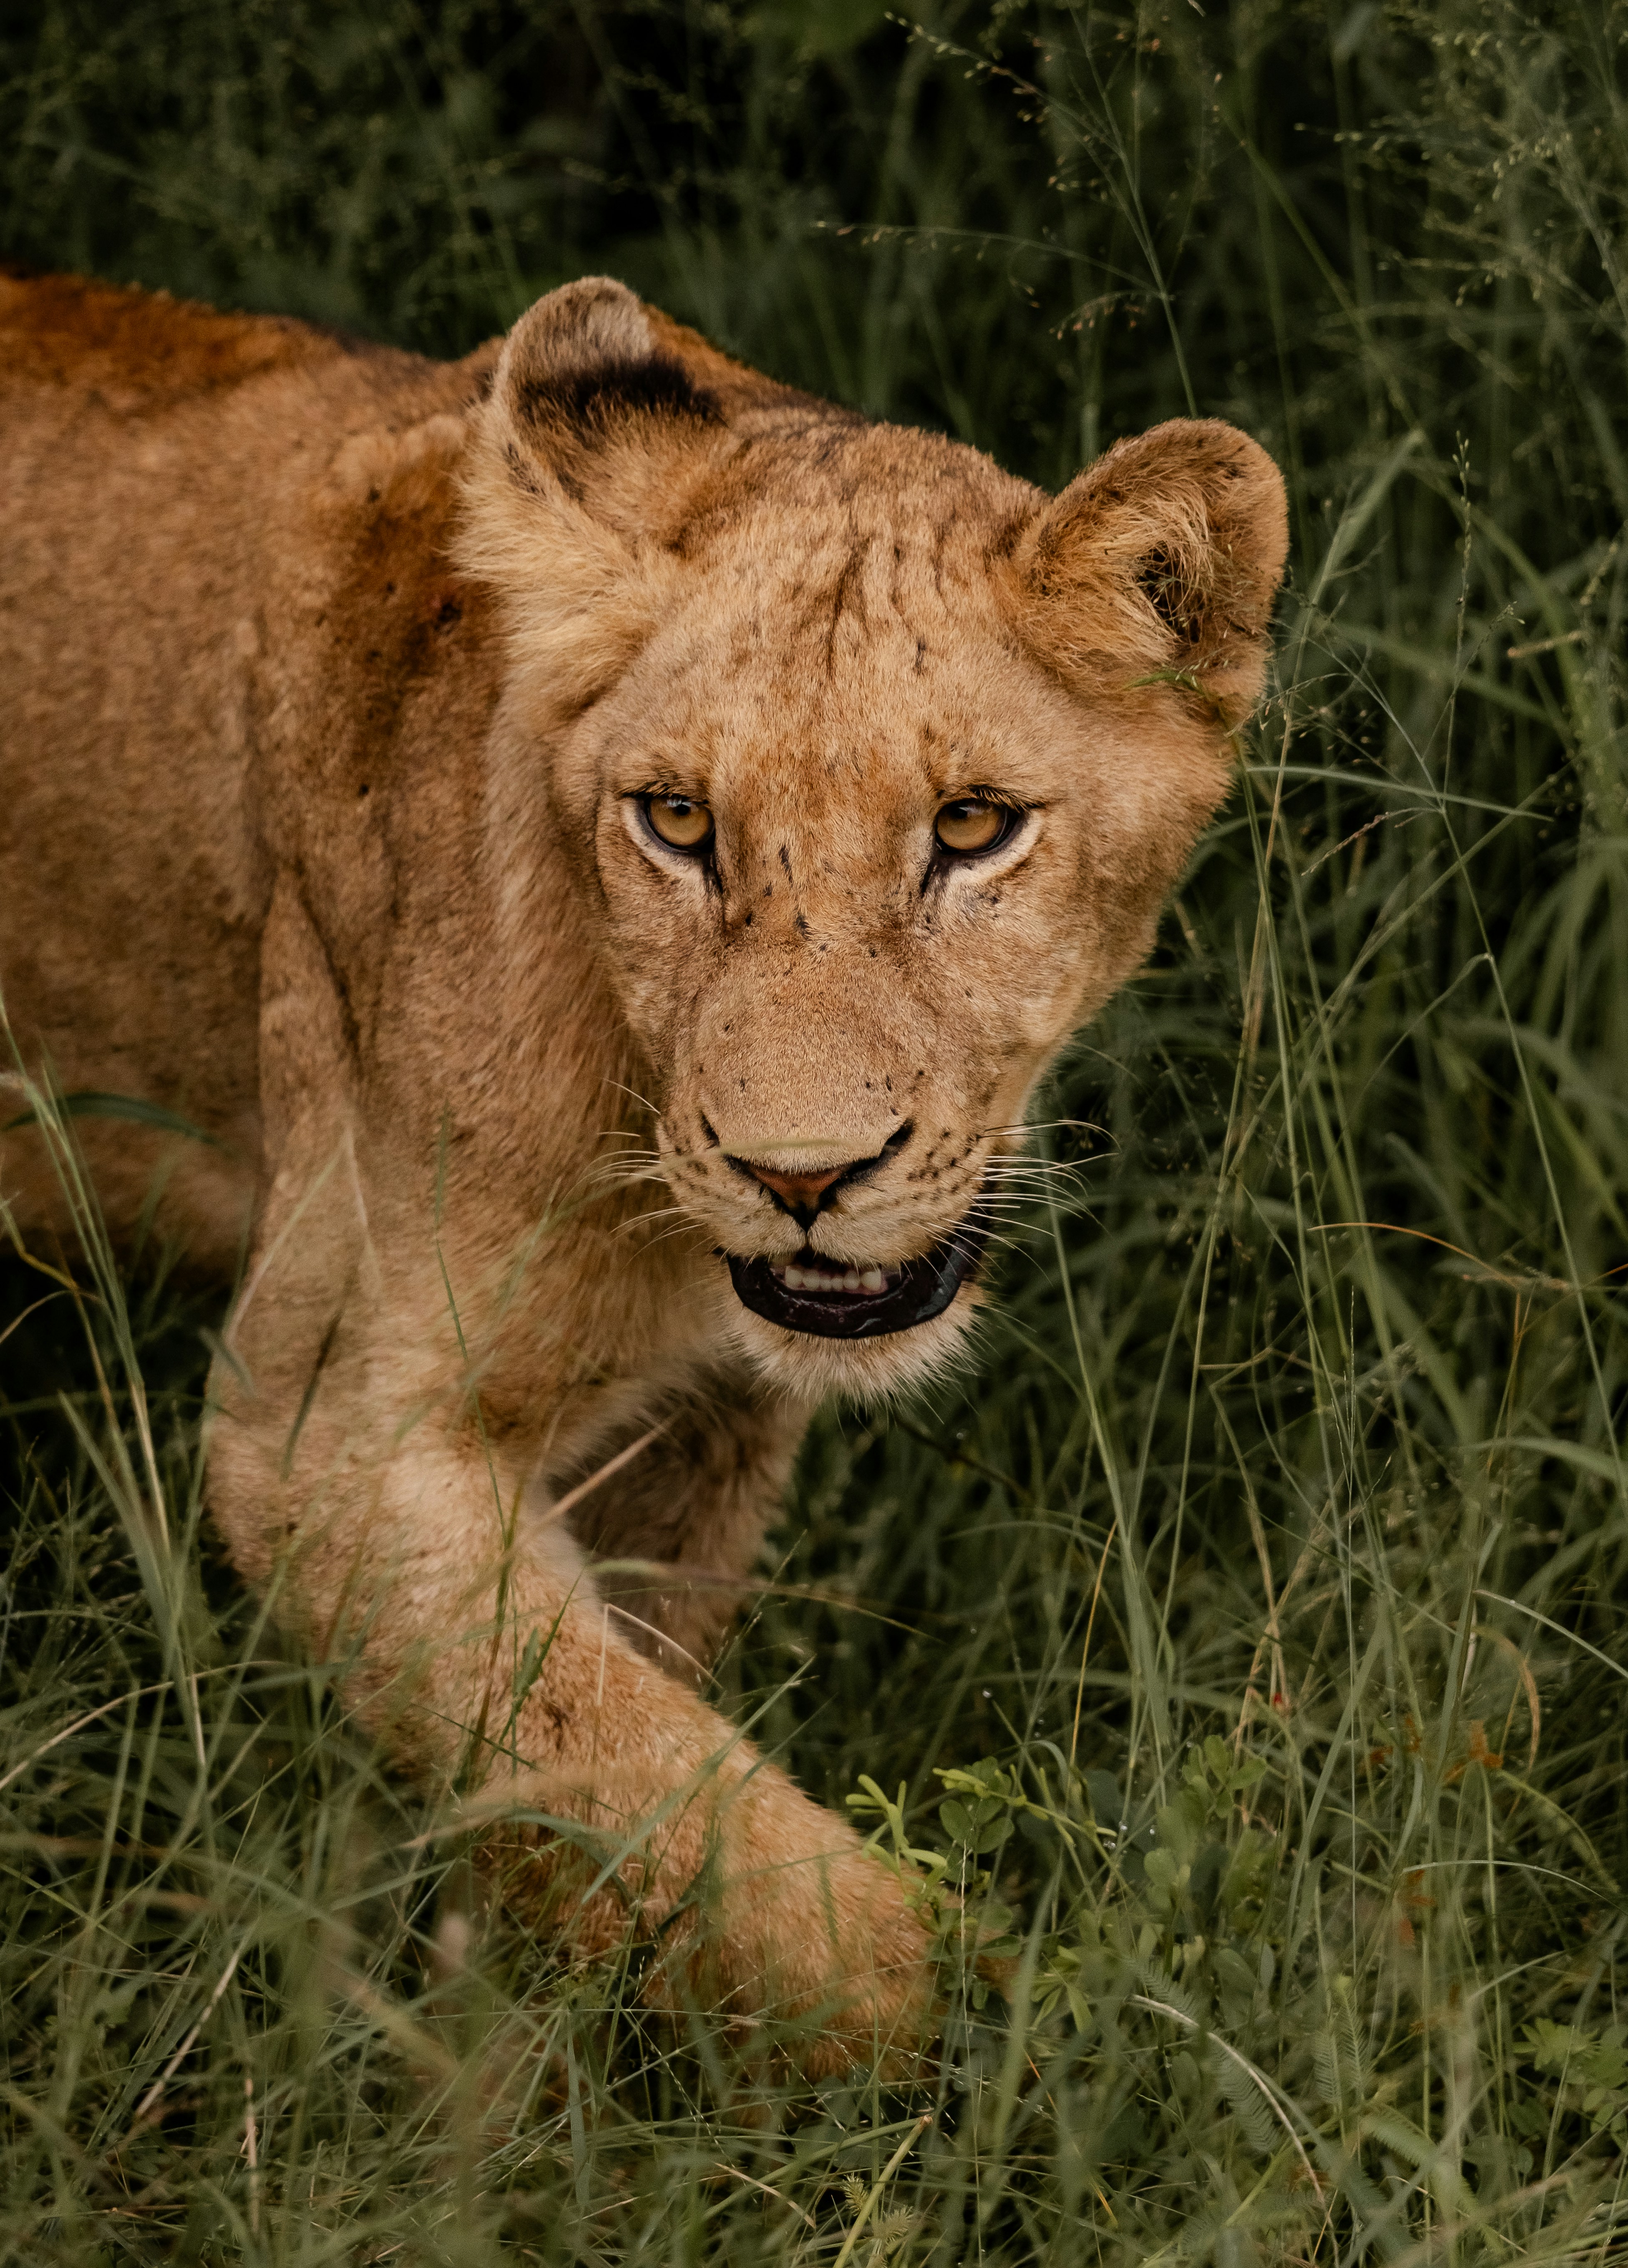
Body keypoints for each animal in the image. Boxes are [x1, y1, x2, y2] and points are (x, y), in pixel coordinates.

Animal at [0, 268, 1286, 2068]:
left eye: (972, 827)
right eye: (676, 822)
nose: (801, 1174)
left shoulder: (695, 1427)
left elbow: (638, 1767)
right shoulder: (325, 1428)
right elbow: (717, 1837)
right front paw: (1015, 2063)